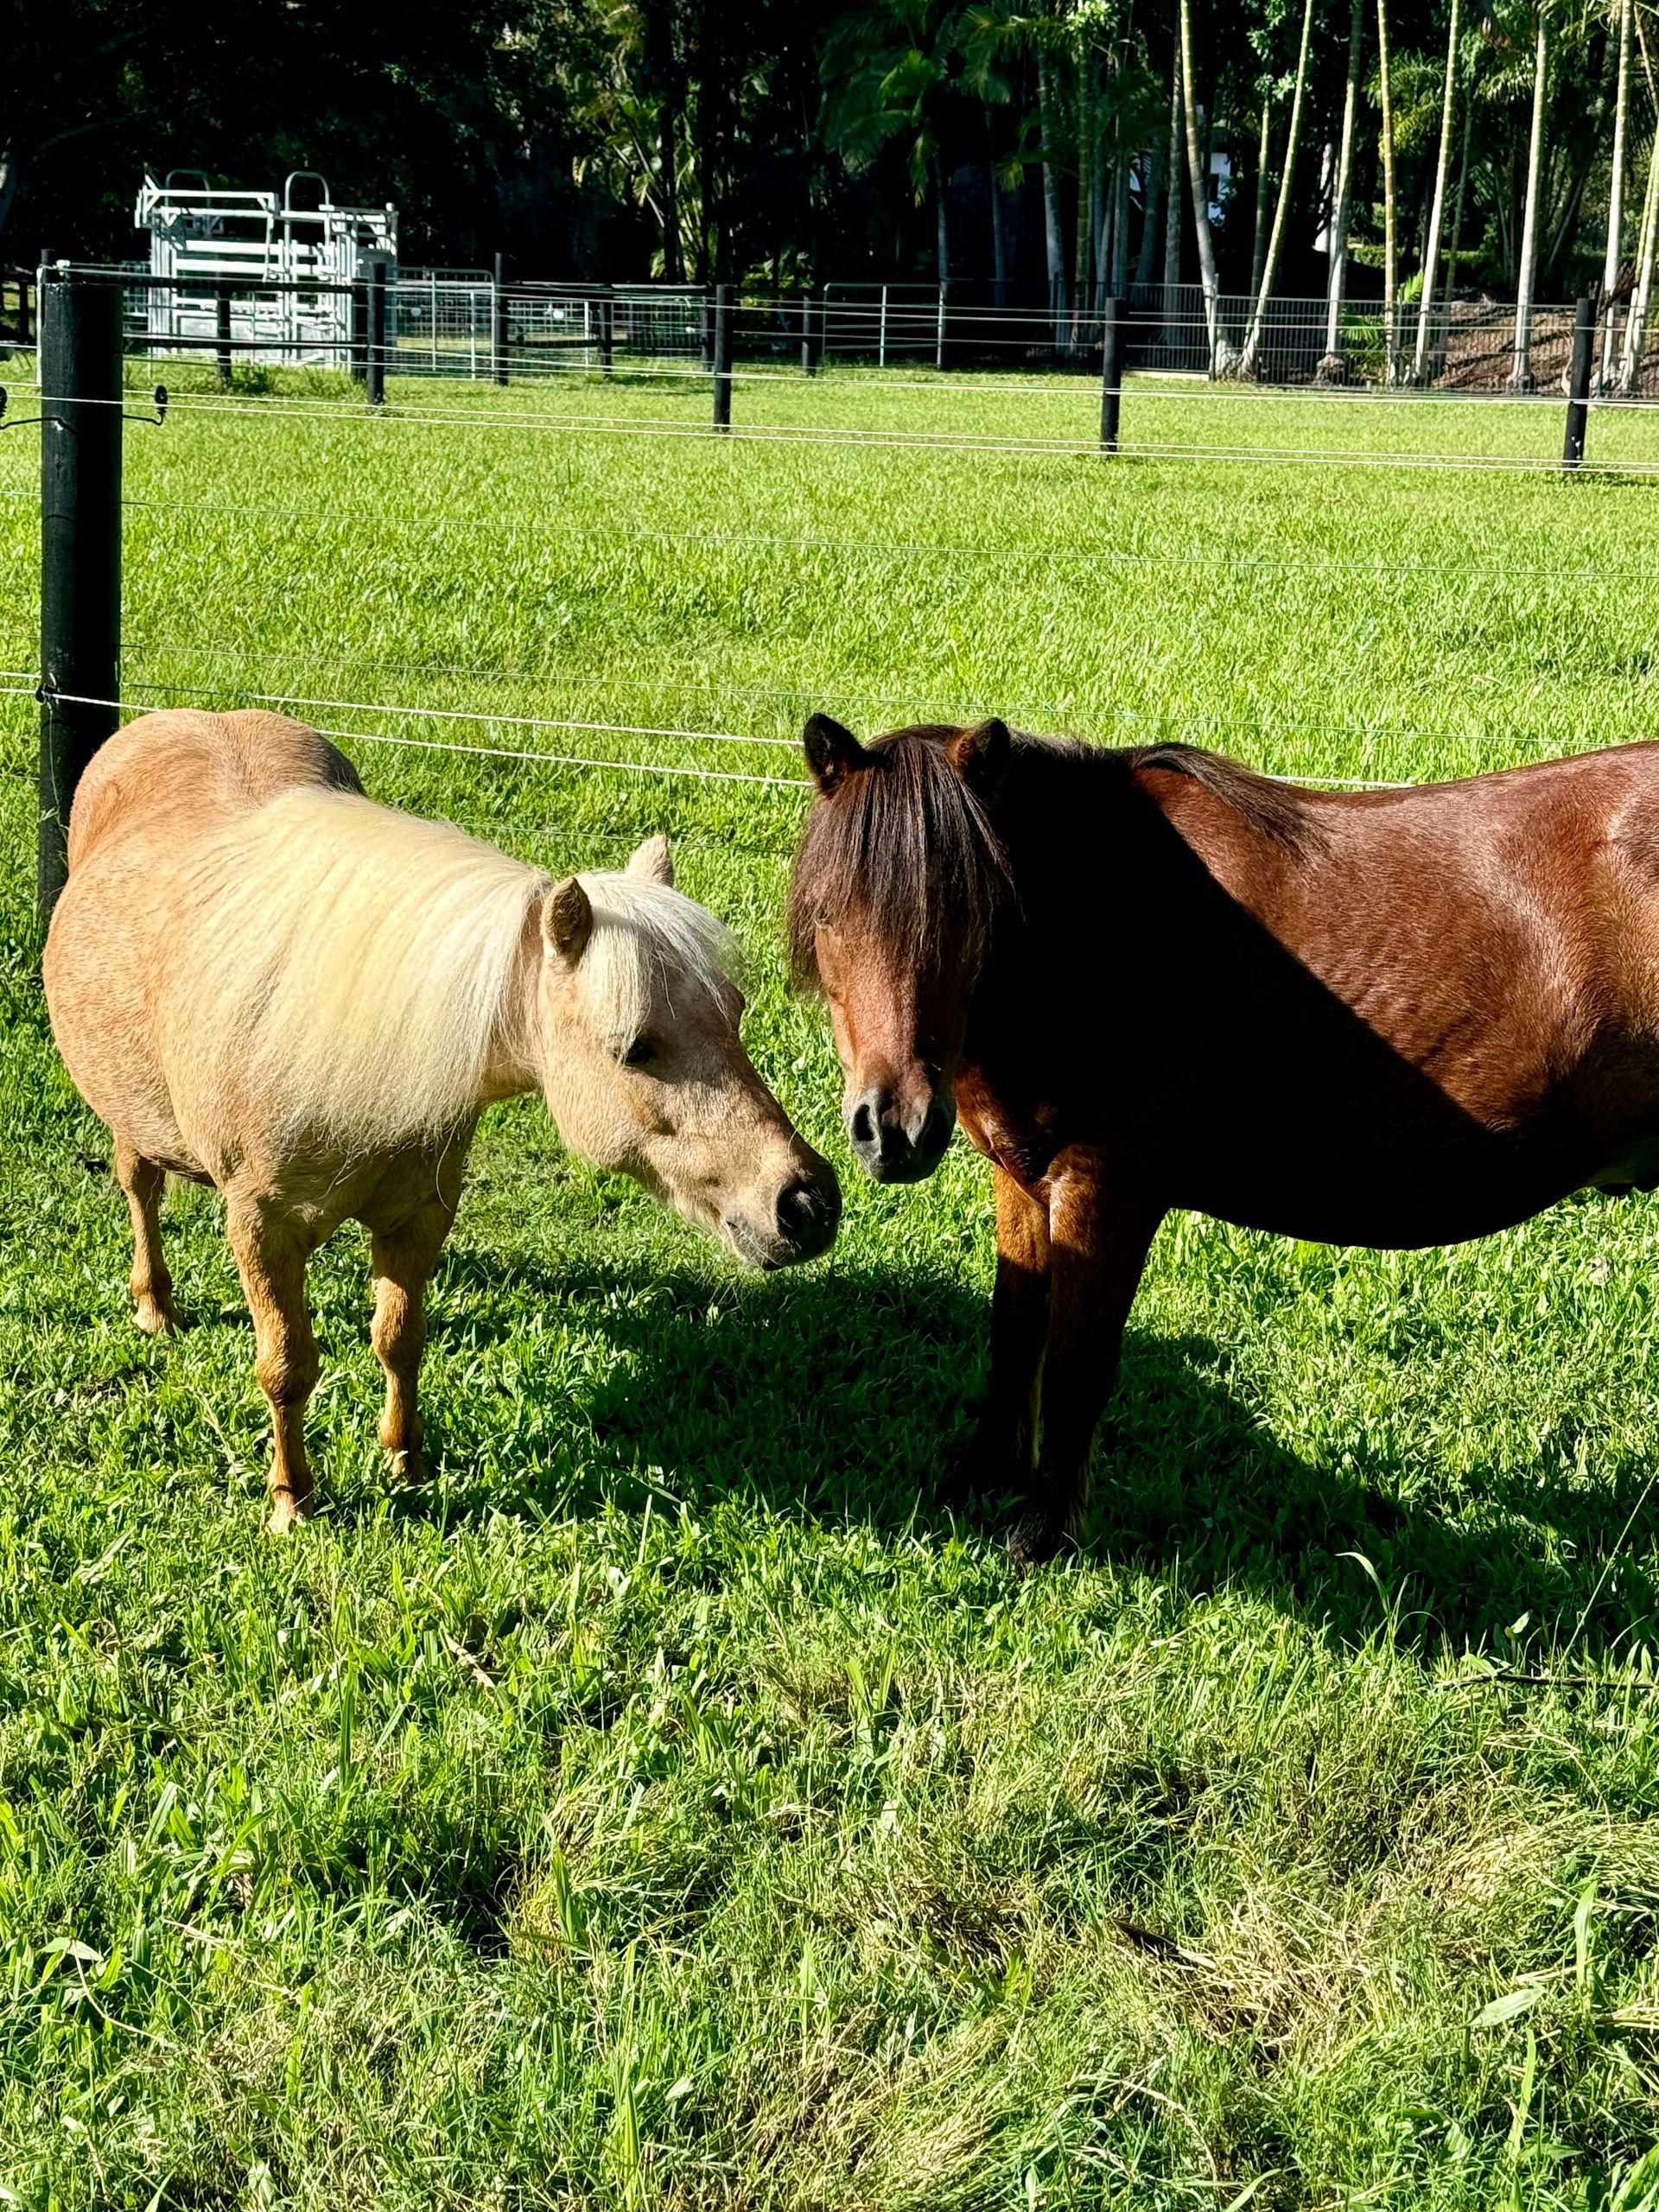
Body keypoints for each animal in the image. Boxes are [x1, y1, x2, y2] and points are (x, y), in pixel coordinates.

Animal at [44, 709, 840, 1531]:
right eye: (637, 1047)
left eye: (735, 1014)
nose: (806, 1203)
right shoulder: (261, 1228)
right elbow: (288, 1365)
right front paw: (293, 1500)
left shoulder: (420, 1215)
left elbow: (400, 1339)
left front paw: (408, 1464)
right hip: (129, 1119)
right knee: (139, 1189)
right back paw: (155, 1305)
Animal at [788, 712, 1659, 1564]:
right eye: (830, 912)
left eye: (968, 915)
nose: (893, 1127)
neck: (1102, 928)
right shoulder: (1022, 1181)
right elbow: (1015, 1340)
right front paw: (977, 1483)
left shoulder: (1105, 1194)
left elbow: (1076, 1364)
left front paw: (1041, 1536)